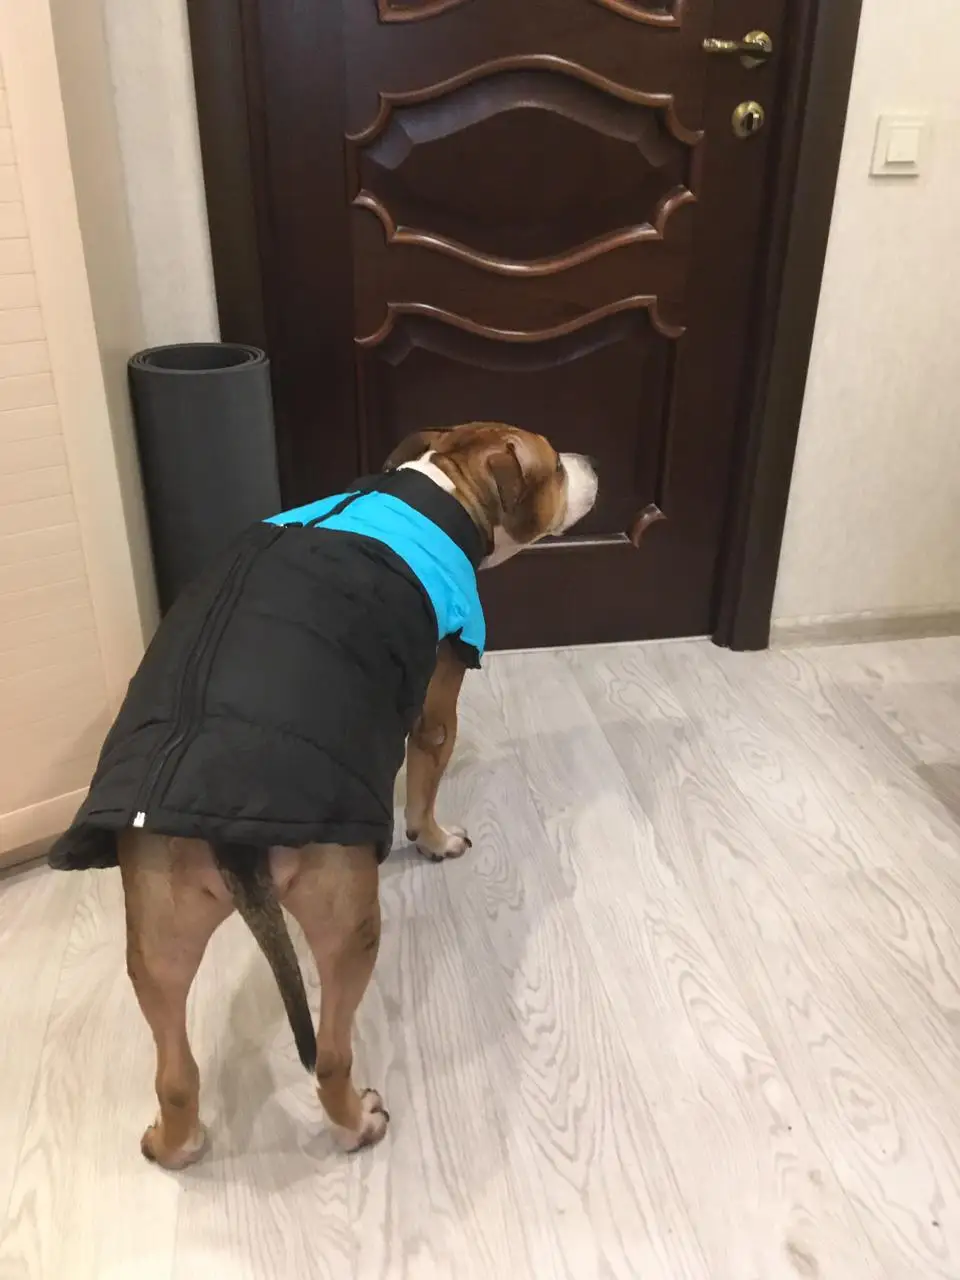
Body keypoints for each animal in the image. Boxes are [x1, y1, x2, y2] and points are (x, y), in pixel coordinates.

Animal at [48, 423, 598, 1168]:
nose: (589, 460)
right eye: (554, 467)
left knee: (175, 1072)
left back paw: (175, 1144)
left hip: (157, 937)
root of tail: (226, 828)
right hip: (346, 925)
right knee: (331, 1054)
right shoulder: (437, 707)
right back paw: (355, 1122)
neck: (438, 485)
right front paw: (436, 839)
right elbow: (425, 782)